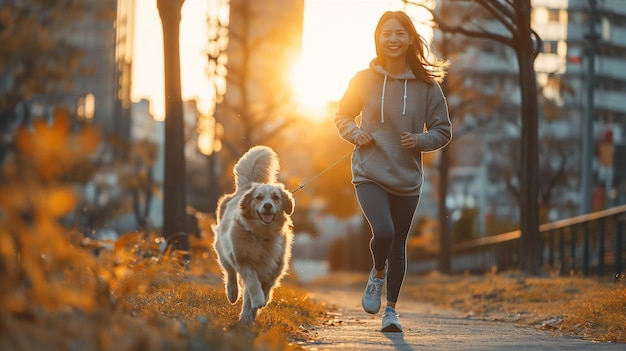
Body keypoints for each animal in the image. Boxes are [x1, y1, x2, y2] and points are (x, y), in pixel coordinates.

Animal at [211, 146, 294, 324]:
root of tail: (249, 184)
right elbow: (252, 284)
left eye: (276, 197)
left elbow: (265, 287)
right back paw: (233, 294)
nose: (268, 206)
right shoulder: (244, 260)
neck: (261, 234)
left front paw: (257, 306)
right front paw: (257, 301)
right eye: (259, 198)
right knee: (230, 274)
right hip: (223, 250)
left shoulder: (274, 268)